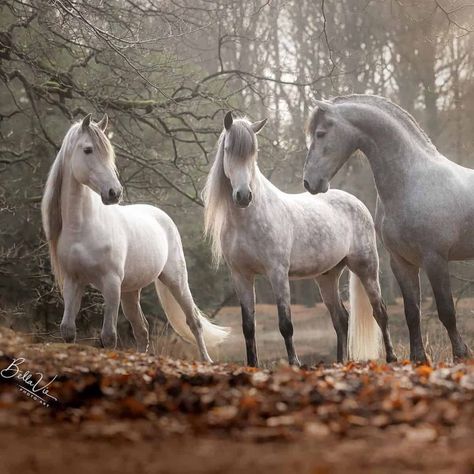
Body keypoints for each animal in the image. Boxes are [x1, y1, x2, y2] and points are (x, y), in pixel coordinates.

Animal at [41, 114, 231, 360]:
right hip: (130, 292)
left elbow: (109, 337)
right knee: (141, 330)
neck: (83, 227)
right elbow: (67, 330)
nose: (114, 193)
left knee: (193, 322)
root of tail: (162, 216)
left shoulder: (111, 284)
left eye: (109, 153)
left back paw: (206, 359)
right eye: (88, 150)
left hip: (175, 280)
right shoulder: (73, 282)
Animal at [203, 111, 396, 366]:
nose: (243, 196)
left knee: (380, 312)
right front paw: (252, 365)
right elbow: (248, 327)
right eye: (227, 149)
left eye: (253, 153)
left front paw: (295, 364)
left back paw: (392, 358)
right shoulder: (241, 276)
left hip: (366, 268)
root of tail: (356, 202)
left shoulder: (277, 273)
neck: (247, 220)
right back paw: (339, 362)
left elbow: (286, 324)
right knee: (341, 319)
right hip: (327, 276)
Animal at [304, 95, 470, 362]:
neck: (412, 180)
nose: (309, 182)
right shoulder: (401, 262)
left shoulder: (435, 259)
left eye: (320, 134)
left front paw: (461, 355)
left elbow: (447, 311)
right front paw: (418, 358)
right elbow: (412, 312)